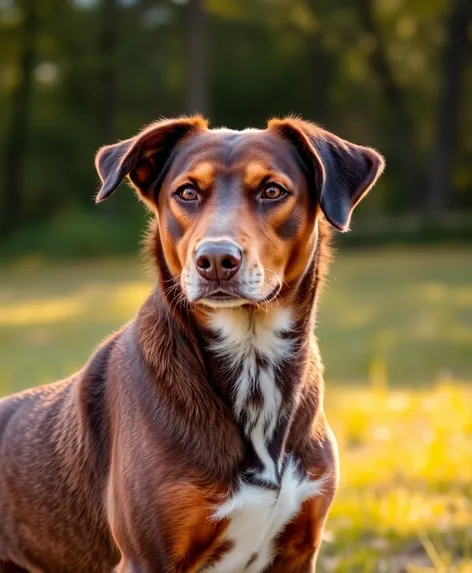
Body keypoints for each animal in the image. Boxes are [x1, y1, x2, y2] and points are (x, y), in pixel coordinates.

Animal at [0, 117, 384, 572]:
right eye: (187, 192)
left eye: (273, 190)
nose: (215, 259)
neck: (253, 359)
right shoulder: (147, 557)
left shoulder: (298, 549)